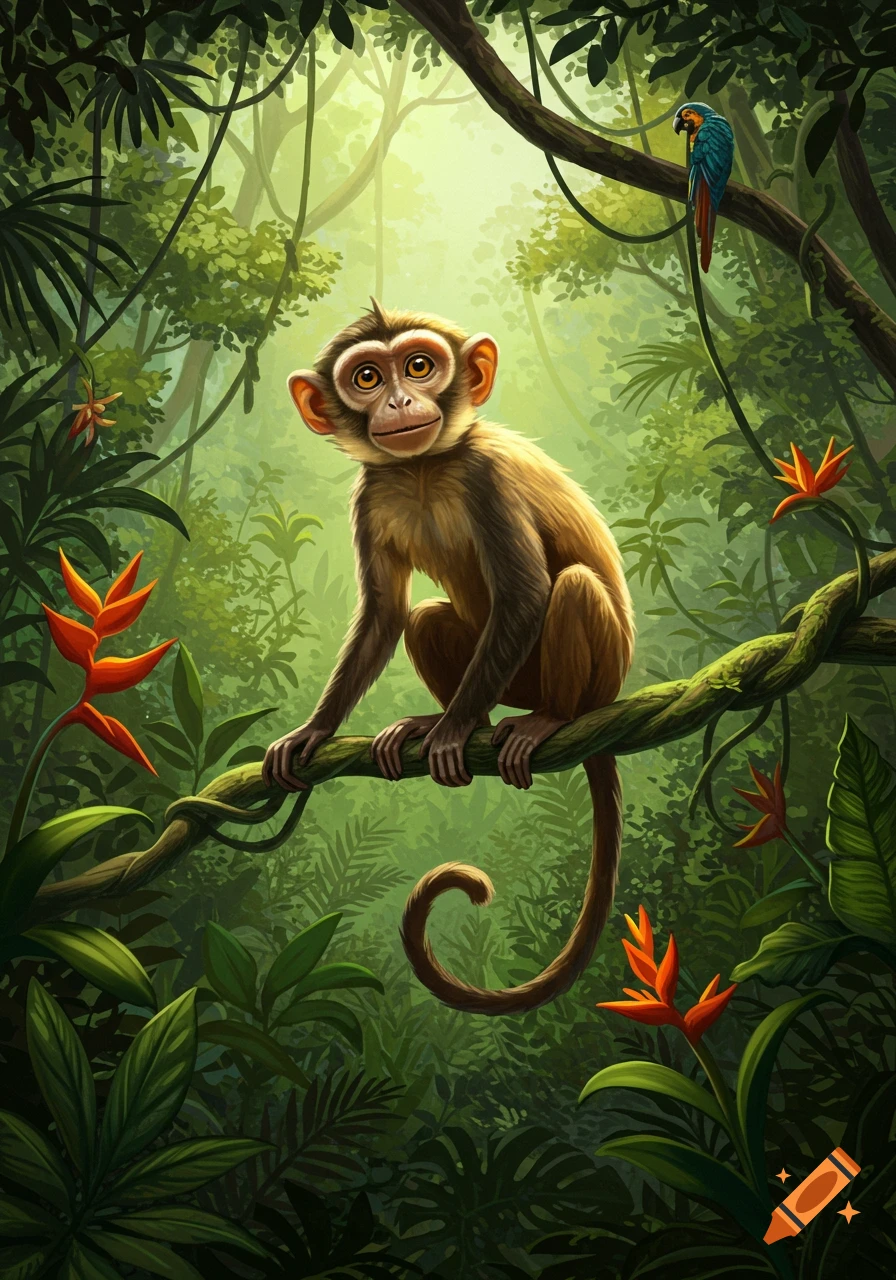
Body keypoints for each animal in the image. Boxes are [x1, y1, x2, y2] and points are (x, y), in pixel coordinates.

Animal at [262, 301, 634, 1015]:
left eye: (418, 366)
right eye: (368, 377)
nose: (400, 400)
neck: (424, 468)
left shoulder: (486, 479)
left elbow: (526, 593)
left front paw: (453, 730)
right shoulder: (371, 493)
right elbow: (383, 617)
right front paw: (316, 730)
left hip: (593, 673)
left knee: (571, 586)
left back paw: (540, 720)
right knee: (429, 616)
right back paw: (454, 723)